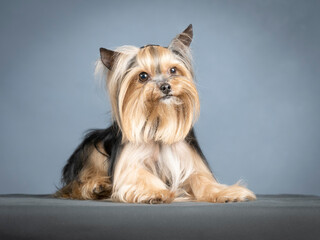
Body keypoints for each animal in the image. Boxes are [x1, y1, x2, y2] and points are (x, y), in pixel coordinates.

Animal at [56, 24, 256, 203]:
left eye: (173, 70)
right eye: (143, 76)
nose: (165, 86)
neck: (159, 121)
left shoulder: (189, 161)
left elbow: (201, 178)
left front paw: (226, 193)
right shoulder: (130, 163)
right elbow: (139, 175)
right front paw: (155, 192)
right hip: (93, 148)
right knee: (75, 185)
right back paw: (97, 186)